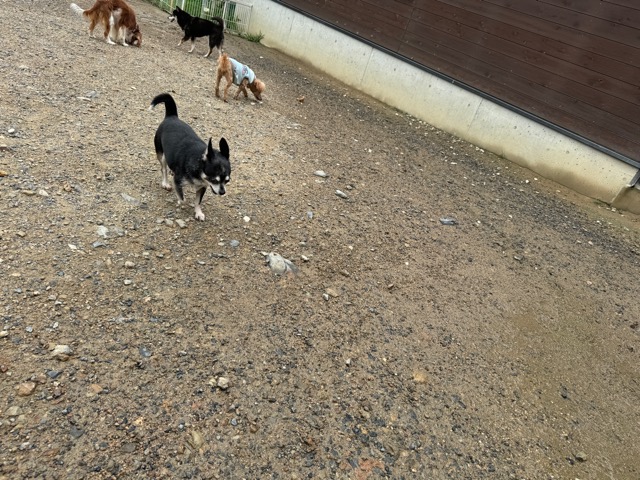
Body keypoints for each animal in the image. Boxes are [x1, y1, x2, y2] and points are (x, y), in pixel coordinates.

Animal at [149, 93, 231, 221]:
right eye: (214, 180)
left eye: (227, 181)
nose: (222, 192)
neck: (198, 164)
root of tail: (172, 116)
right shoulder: (178, 182)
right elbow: (183, 199)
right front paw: (180, 203)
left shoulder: (202, 187)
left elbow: (198, 202)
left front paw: (198, 212)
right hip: (161, 155)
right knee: (164, 169)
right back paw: (165, 183)